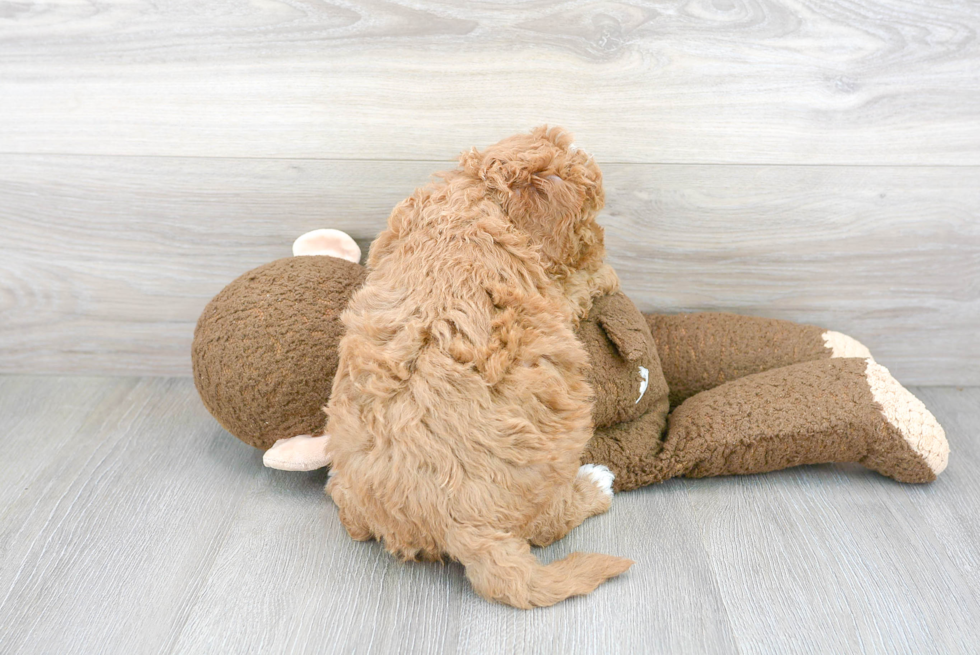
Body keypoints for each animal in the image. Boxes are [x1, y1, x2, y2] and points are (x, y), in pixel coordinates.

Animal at [326, 125, 636, 608]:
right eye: (588, 218)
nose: (601, 243)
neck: (476, 192)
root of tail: (457, 524)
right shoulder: (556, 293)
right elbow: (580, 284)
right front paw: (605, 274)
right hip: (558, 442)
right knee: (546, 524)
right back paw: (595, 484)